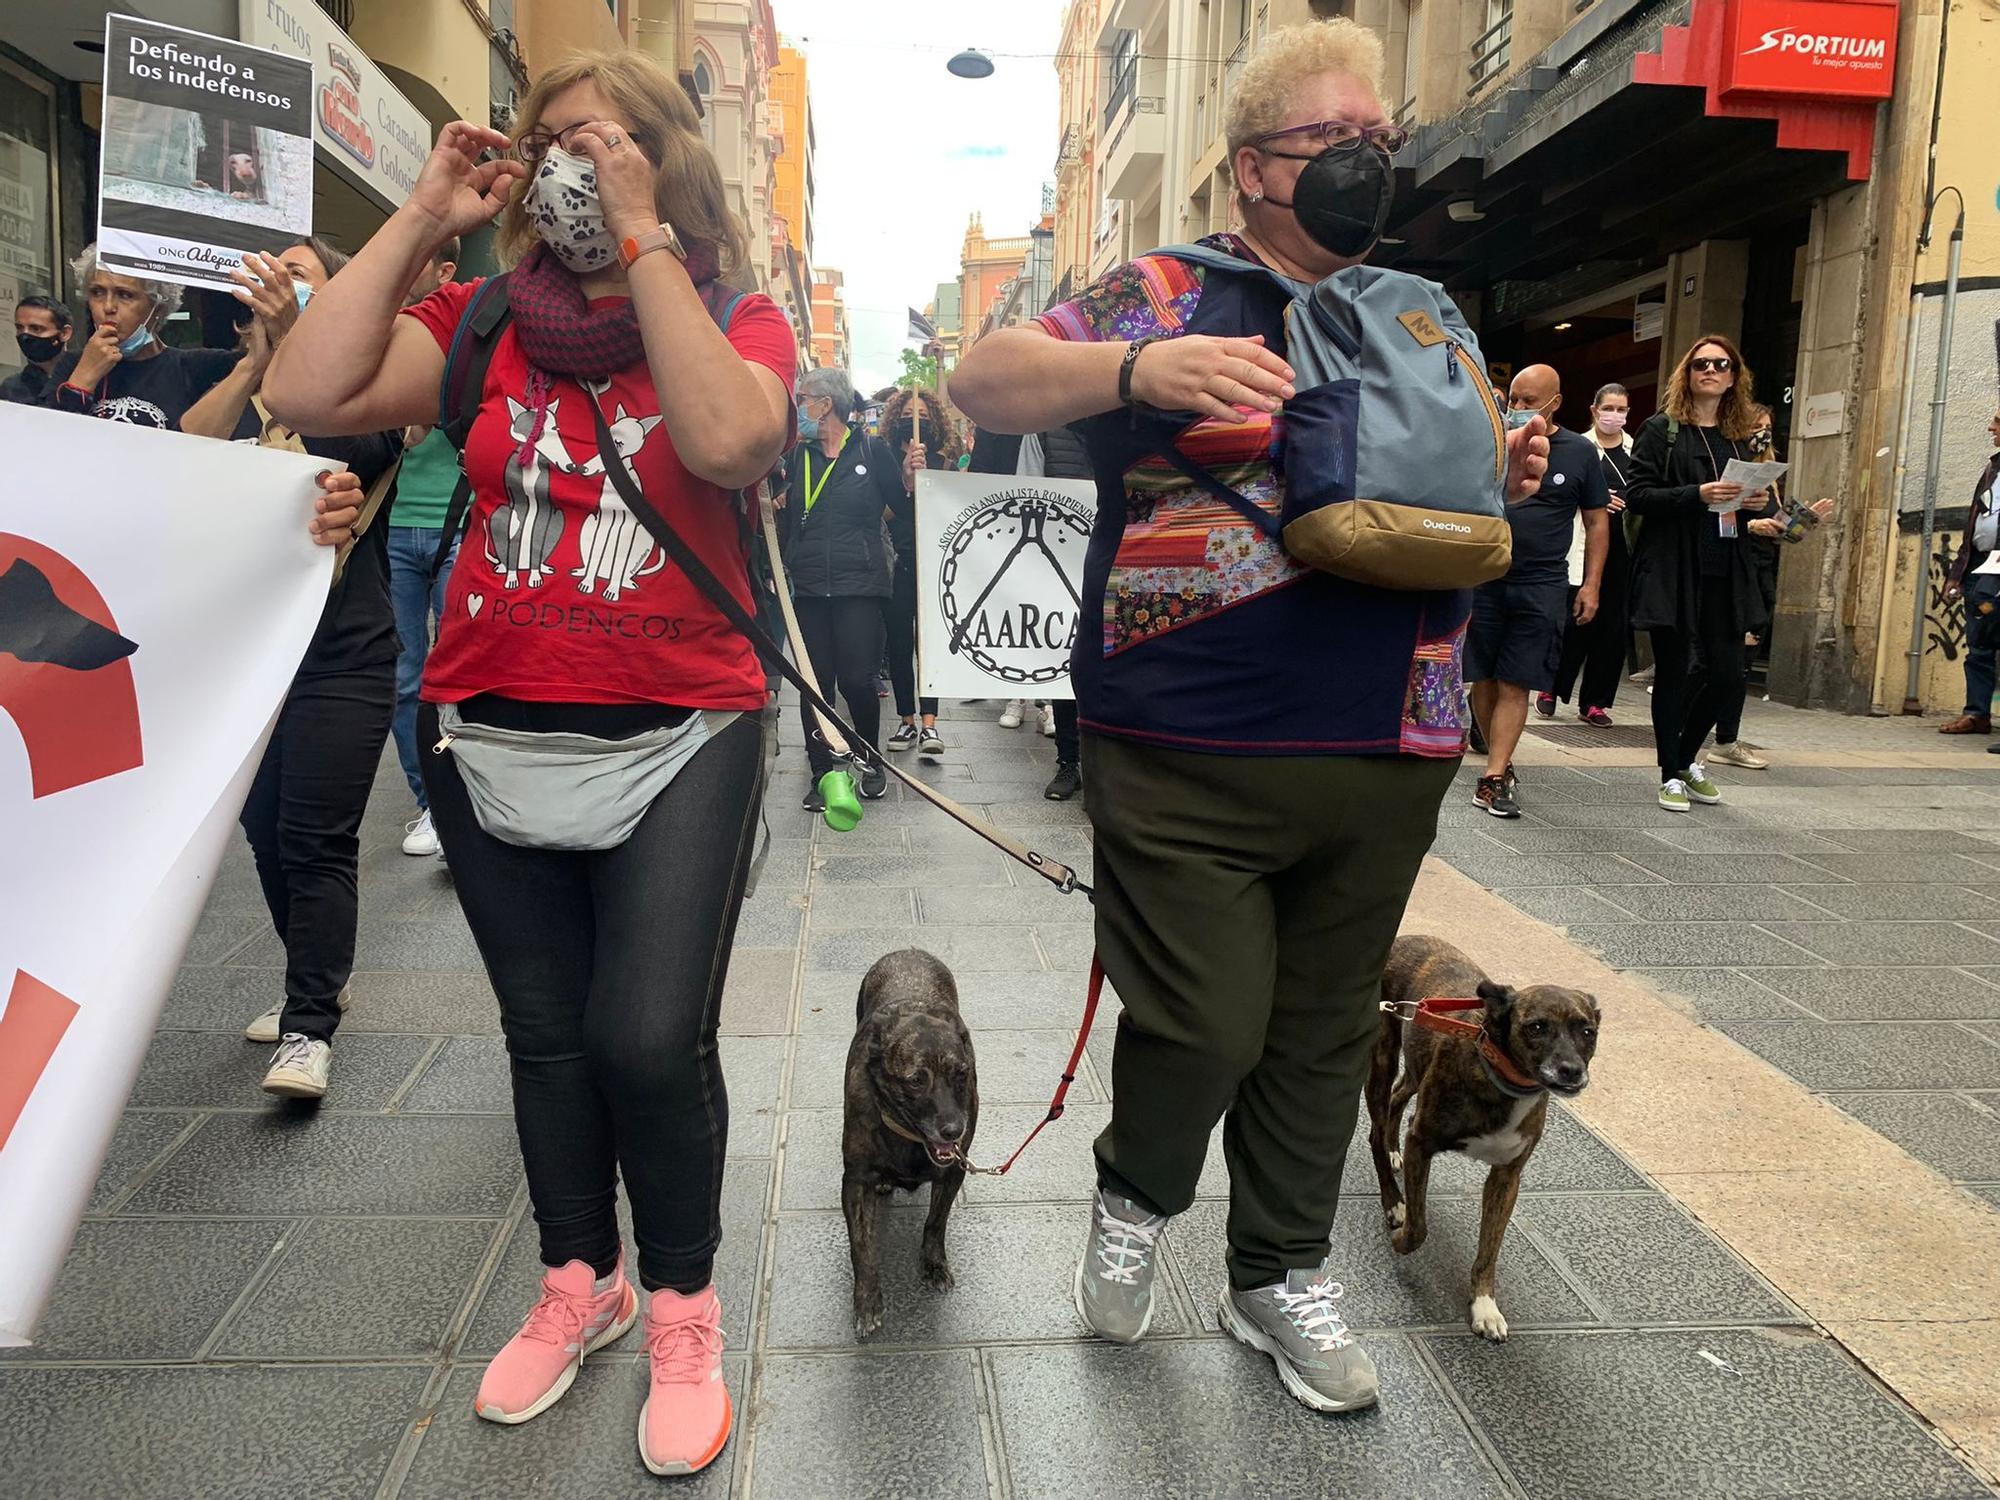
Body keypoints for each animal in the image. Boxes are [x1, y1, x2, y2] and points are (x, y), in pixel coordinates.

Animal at [840, 952, 980, 1336]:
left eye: (962, 1073)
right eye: (916, 1080)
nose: (954, 1130)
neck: (908, 1137)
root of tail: (908, 950)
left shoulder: (952, 1174)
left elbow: (935, 1222)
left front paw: (933, 1264)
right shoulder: (855, 1183)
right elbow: (862, 1247)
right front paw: (867, 1299)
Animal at [1368, 936, 1600, 1344]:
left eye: (1587, 1031)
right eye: (1536, 1027)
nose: (1571, 1071)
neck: (1503, 1079)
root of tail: (1404, 937)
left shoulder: (1506, 1178)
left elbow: (1489, 1250)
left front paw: (1484, 1306)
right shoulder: (1422, 1143)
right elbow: (1419, 1226)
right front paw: (1402, 1236)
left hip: (1414, 1069)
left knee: (1398, 1098)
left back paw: (1394, 1155)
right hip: (1382, 1057)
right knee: (1376, 1131)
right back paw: (1393, 1200)